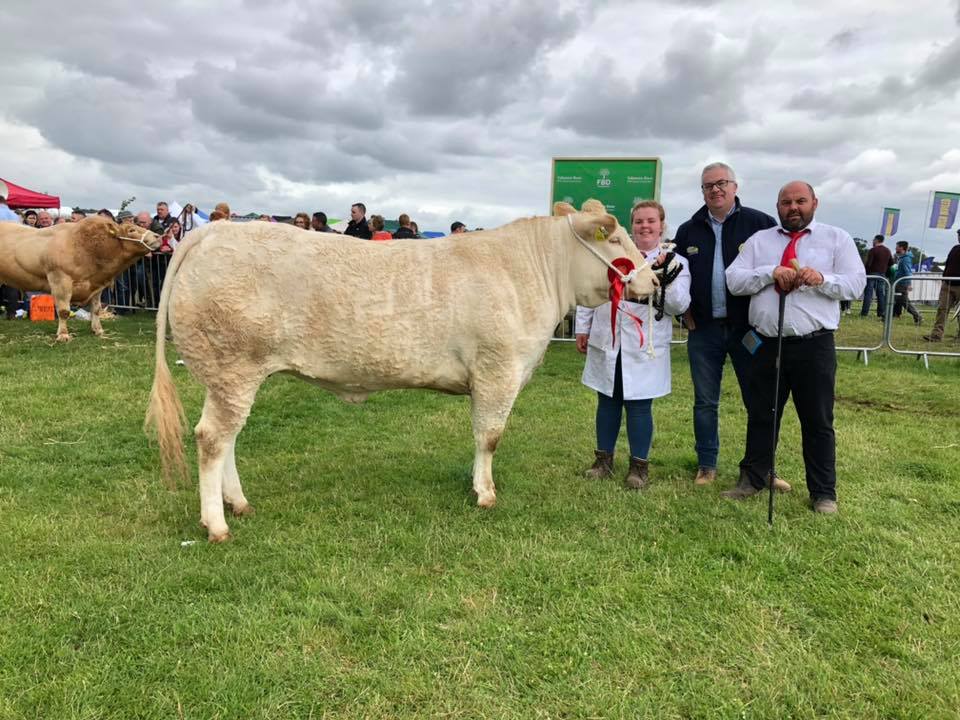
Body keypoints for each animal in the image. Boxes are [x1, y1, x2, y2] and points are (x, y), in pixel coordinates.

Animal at [0, 216, 160, 340]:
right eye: (131, 230)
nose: (158, 236)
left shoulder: (96, 285)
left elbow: (96, 309)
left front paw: (98, 330)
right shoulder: (59, 278)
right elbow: (63, 311)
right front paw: (63, 335)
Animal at [145, 201, 658, 542]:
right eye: (615, 238)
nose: (653, 280)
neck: (530, 274)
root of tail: (211, 233)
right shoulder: (498, 369)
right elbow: (490, 436)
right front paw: (485, 493)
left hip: (230, 374)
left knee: (225, 438)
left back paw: (238, 504)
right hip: (234, 366)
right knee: (213, 438)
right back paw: (217, 524)